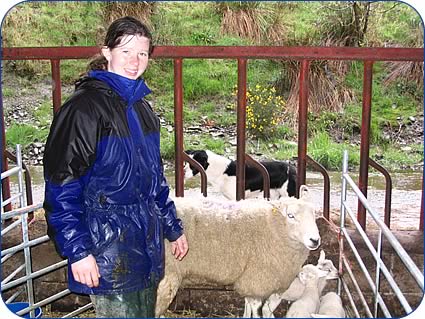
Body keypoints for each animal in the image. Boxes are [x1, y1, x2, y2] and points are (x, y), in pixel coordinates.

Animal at [154, 186, 320, 318]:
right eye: (291, 215)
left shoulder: (264, 282)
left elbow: (255, 307)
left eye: (314, 215)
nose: (315, 240)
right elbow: (257, 310)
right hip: (167, 277)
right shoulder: (257, 280)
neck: (273, 226)